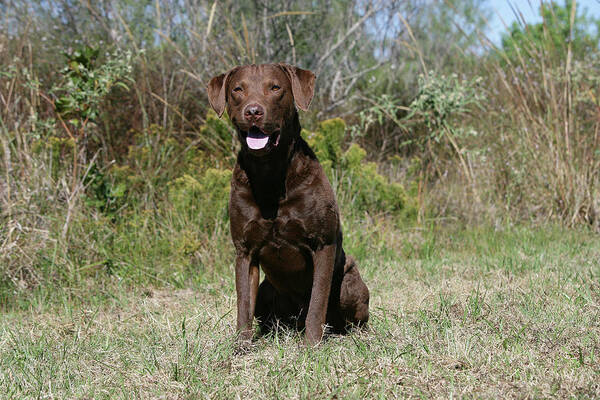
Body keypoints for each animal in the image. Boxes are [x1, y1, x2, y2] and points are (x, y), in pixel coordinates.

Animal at [207, 64, 370, 346]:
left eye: (275, 88)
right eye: (238, 89)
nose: (253, 111)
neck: (270, 174)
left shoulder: (323, 245)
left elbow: (317, 302)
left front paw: (312, 344)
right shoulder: (244, 250)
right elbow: (243, 304)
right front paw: (241, 346)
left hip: (349, 282)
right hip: (266, 290)